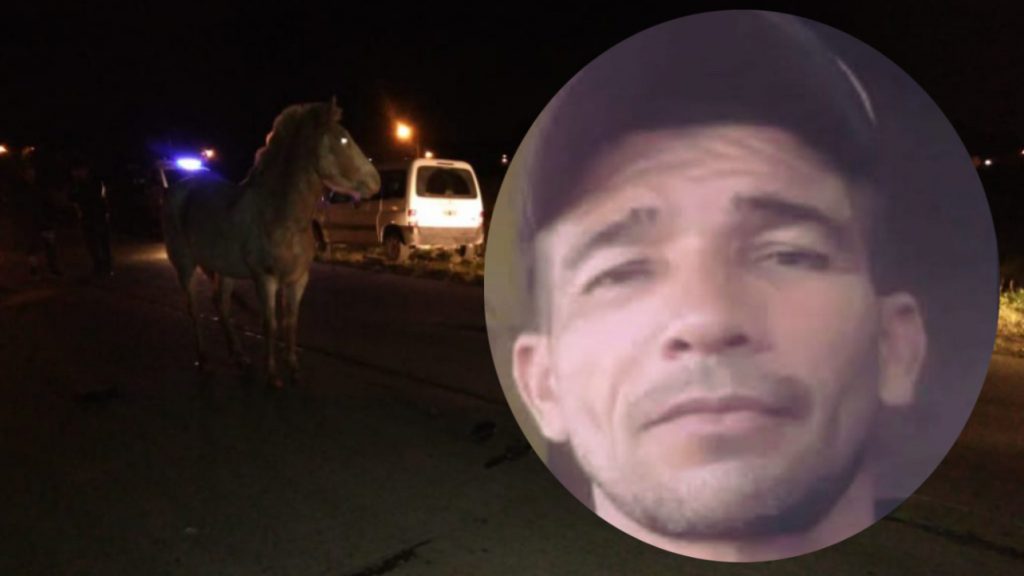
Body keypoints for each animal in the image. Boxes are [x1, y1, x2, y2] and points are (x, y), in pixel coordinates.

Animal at [162, 97, 380, 387]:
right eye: (343, 139)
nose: (376, 182)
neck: (281, 216)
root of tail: (174, 189)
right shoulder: (265, 279)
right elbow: (270, 324)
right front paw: (273, 375)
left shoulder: (298, 280)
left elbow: (291, 322)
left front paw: (294, 368)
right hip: (185, 265)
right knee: (194, 308)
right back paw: (205, 361)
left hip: (224, 270)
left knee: (222, 306)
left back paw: (239, 357)